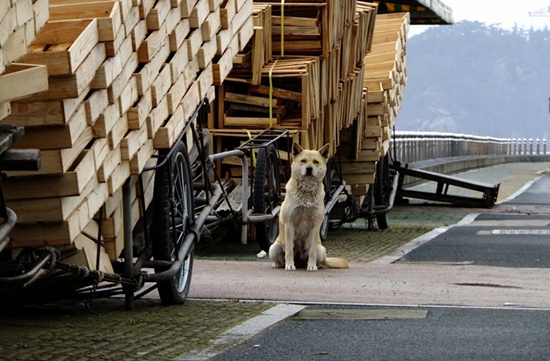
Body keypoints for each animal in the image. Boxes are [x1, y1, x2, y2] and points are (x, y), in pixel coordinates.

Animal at [270, 141, 352, 270]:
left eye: (315, 162)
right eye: (303, 161)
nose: (309, 168)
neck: (306, 192)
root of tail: (299, 263)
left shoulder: (315, 226)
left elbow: (312, 251)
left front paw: (312, 266)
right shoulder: (289, 224)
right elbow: (289, 250)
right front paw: (289, 265)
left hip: (321, 249)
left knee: (320, 261)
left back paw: (313, 265)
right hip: (274, 247)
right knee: (281, 259)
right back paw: (279, 264)